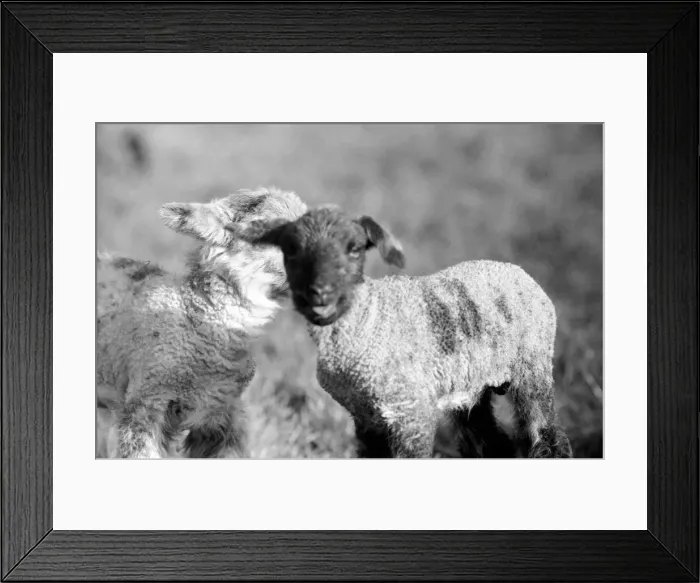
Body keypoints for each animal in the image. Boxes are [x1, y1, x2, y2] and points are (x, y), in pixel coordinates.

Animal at [226, 205, 573, 459]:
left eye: (355, 249)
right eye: (291, 250)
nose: (320, 294)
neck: (368, 319)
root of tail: (518, 271)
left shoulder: (411, 413)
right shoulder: (365, 418)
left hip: (533, 368)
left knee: (548, 436)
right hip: (471, 389)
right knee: (489, 442)